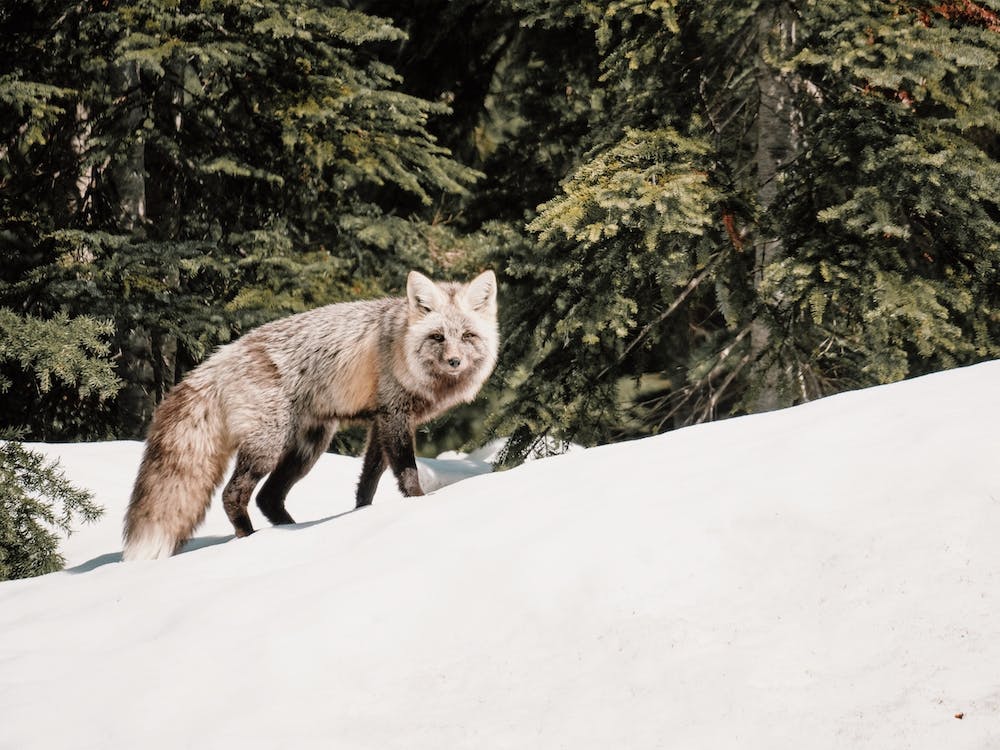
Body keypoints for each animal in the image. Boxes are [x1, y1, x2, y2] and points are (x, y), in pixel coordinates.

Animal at [122, 269, 498, 561]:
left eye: (467, 336)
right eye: (437, 337)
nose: (455, 362)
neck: (401, 347)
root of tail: (220, 357)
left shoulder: (379, 421)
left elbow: (367, 483)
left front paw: (363, 516)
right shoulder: (394, 416)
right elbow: (407, 473)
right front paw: (418, 504)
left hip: (307, 447)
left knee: (268, 497)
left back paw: (295, 531)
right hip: (269, 446)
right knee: (234, 495)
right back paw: (251, 539)